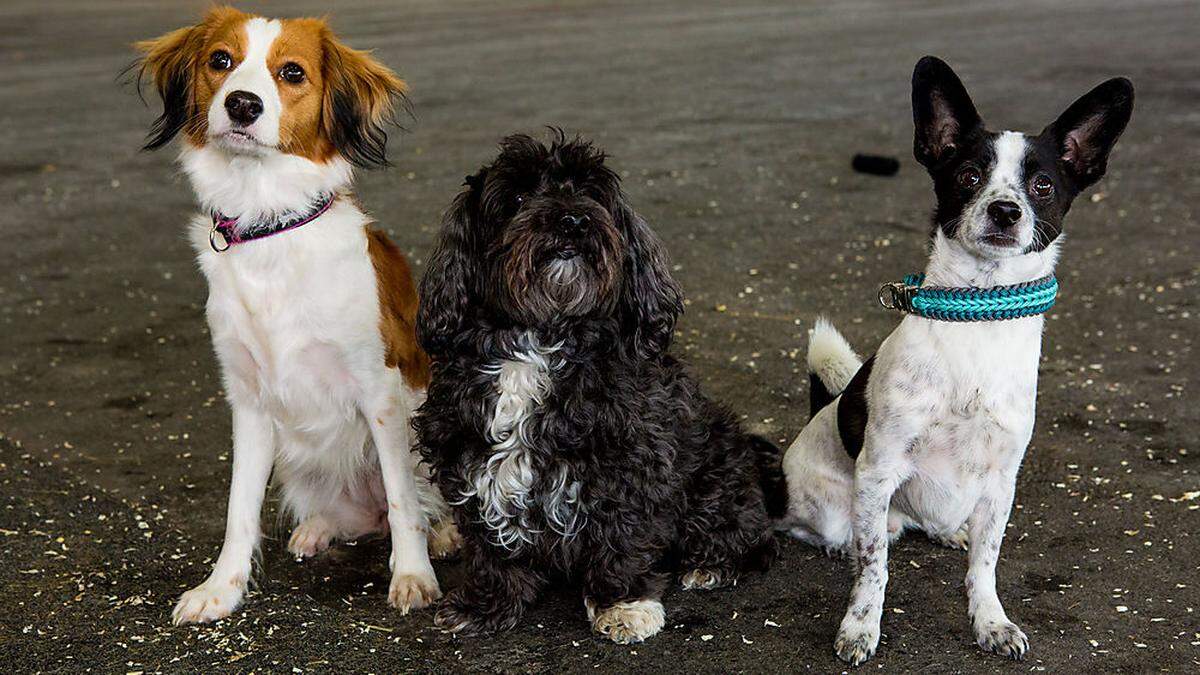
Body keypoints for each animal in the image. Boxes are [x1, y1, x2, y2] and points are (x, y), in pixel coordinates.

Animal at [132, 7, 458, 624]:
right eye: (220, 60)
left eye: (291, 72)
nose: (242, 104)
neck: (269, 224)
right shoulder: (248, 400)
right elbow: (239, 509)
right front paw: (222, 588)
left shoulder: (381, 393)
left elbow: (403, 499)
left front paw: (413, 576)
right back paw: (319, 528)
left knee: (419, 502)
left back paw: (444, 532)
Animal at [412, 131, 787, 638]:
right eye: (517, 198)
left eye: (590, 193)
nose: (573, 220)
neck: (540, 339)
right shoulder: (469, 456)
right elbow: (490, 546)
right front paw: (487, 604)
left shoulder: (630, 461)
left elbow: (623, 534)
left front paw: (624, 603)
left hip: (716, 475)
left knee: (753, 537)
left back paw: (713, 563)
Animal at [777, 56, 1132, 662]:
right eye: (968, 176)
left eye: (1042, 184)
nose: (1005, 210)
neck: (978, 317)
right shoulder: (879, 470)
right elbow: (874, 570)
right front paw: (860, 627)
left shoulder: (1000, 482)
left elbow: (984, 565)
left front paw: (989, 621)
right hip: (830, 506)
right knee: (842, 533)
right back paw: (842, 544)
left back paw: (947, 531)